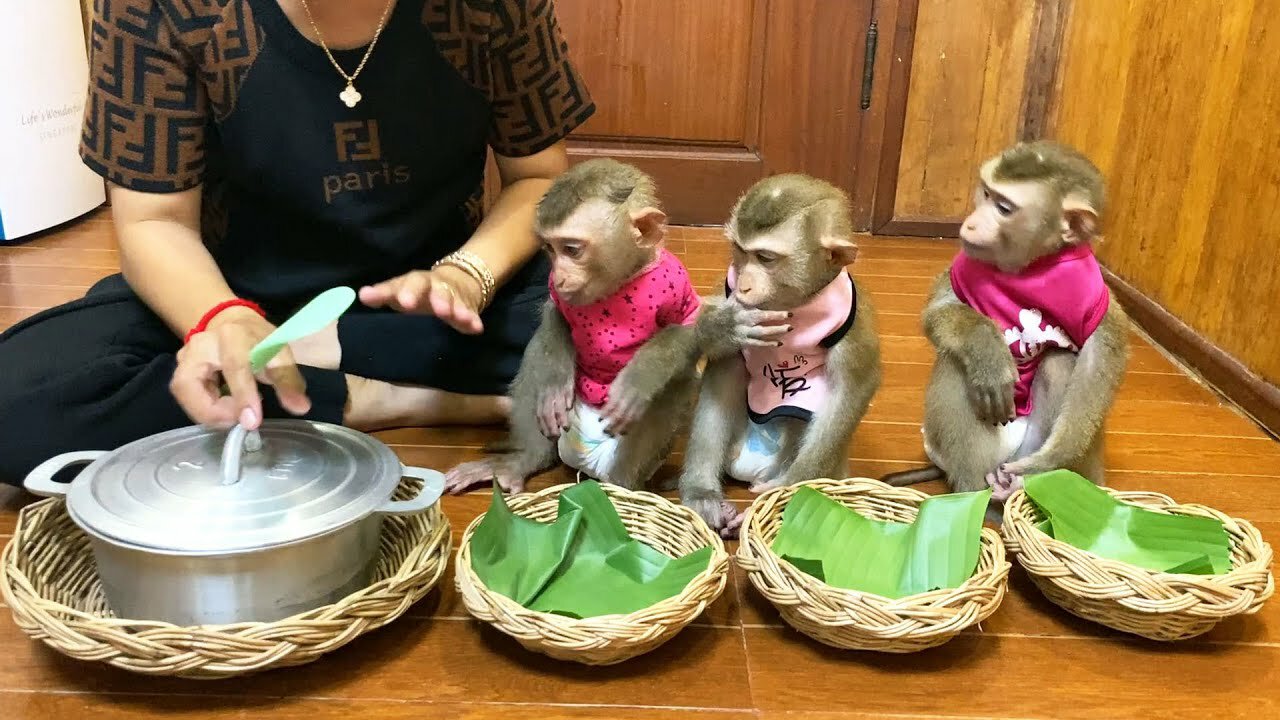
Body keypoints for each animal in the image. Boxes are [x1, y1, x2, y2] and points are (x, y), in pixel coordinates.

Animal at [448, 158, 711, 491]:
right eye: (550, 248)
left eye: (572, 249)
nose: (559, 276)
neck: (619, 283)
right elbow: (555, 315)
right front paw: (554, 384)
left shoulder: (676, 283)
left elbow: (689, 334)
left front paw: (636, 381)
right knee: (537, 349)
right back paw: (525, 460)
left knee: (677, 383)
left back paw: (621, 487)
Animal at [680, 172, 880, 532]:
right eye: (740, 251)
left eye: (766, 258)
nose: (744, 284)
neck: (792, 303)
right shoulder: (730, 293)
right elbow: (718, 355)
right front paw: (725, 328)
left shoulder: (854, 320)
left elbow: (853, 387)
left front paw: (793, 490)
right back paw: (706, 494)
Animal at [885, 140, 1126, 499]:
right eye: (985, 193)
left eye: (1003, 208)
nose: (970, 224)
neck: (1029, 267)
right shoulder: (965, 263)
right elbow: (939, 310)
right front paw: (987, 352)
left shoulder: (1092, 288)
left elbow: (1100, 356)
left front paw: (1056, 457)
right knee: (956, 364)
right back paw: (973, 494)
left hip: (1022, 448)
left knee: (1059, 361)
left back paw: (1027, 480)